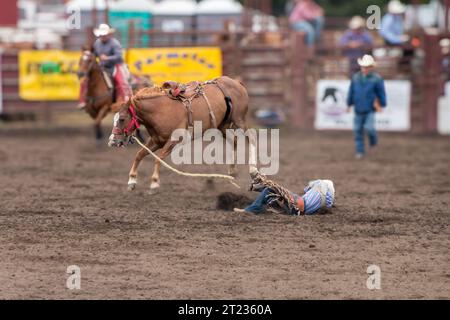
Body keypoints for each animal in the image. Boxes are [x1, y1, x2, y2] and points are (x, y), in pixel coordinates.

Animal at [107, 76, 256, 194]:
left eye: (122, 119)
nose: (112, 141)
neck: (159, 111)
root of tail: (236, 82)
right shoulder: (156, 140)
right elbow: (139, 154)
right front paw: (131, 181)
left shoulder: (173, 140)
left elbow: (158, 159)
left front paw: (154, 183)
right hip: (222, 126)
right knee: (234, 141)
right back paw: (232, 170)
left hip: (239, 120)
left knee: (251, 138)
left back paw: (254, 171)